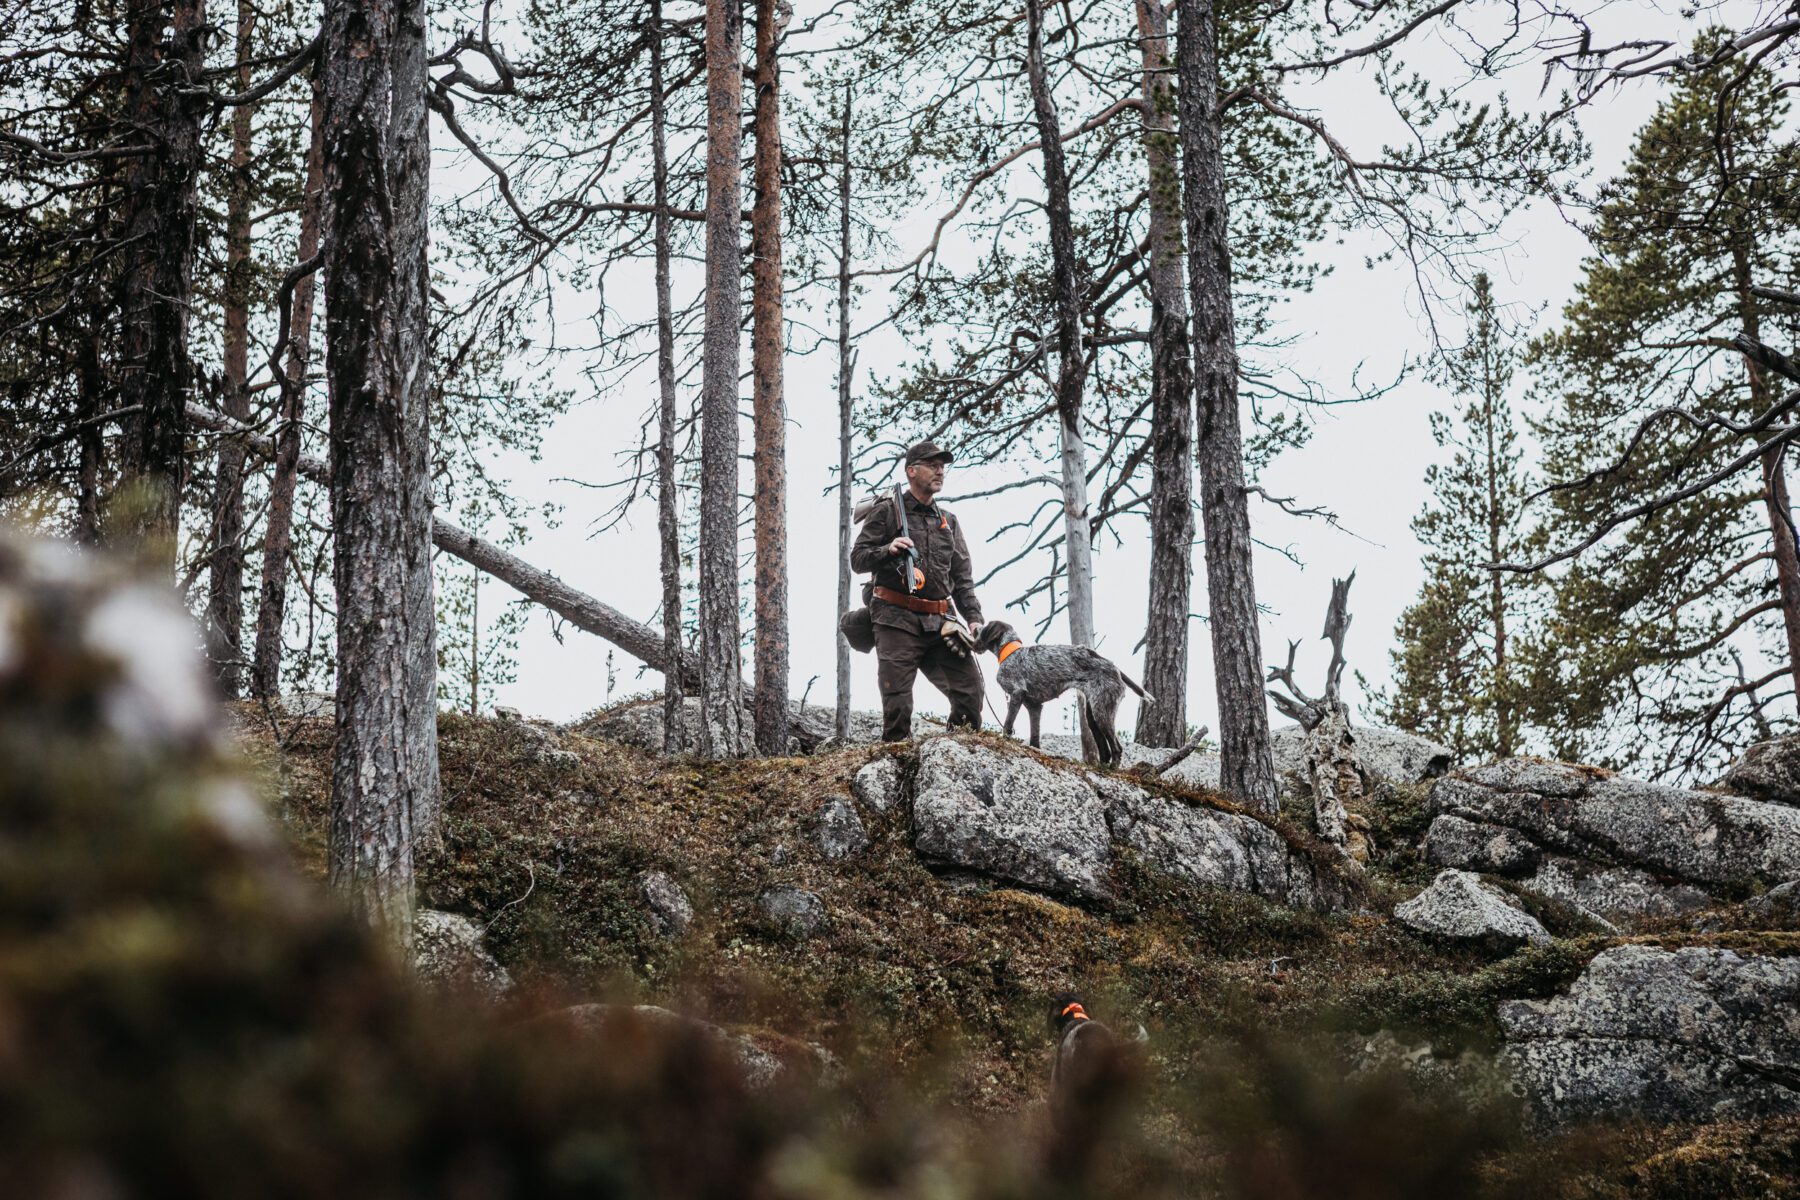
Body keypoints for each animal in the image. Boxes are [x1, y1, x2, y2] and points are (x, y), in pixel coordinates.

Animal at [972, 618, 1152, 770]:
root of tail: (1114, 667)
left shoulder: (1017, 694)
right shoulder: (1034, 706)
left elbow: (1008, 724)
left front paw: (1004, 739)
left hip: (1102, 712)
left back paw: (1113, 769)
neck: (1010, 652)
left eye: (981, 630)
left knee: (1116, 748)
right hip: (1092, 714)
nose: (973, 637)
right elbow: (1035, 736)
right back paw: (1101, 768)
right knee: (1104, 748)